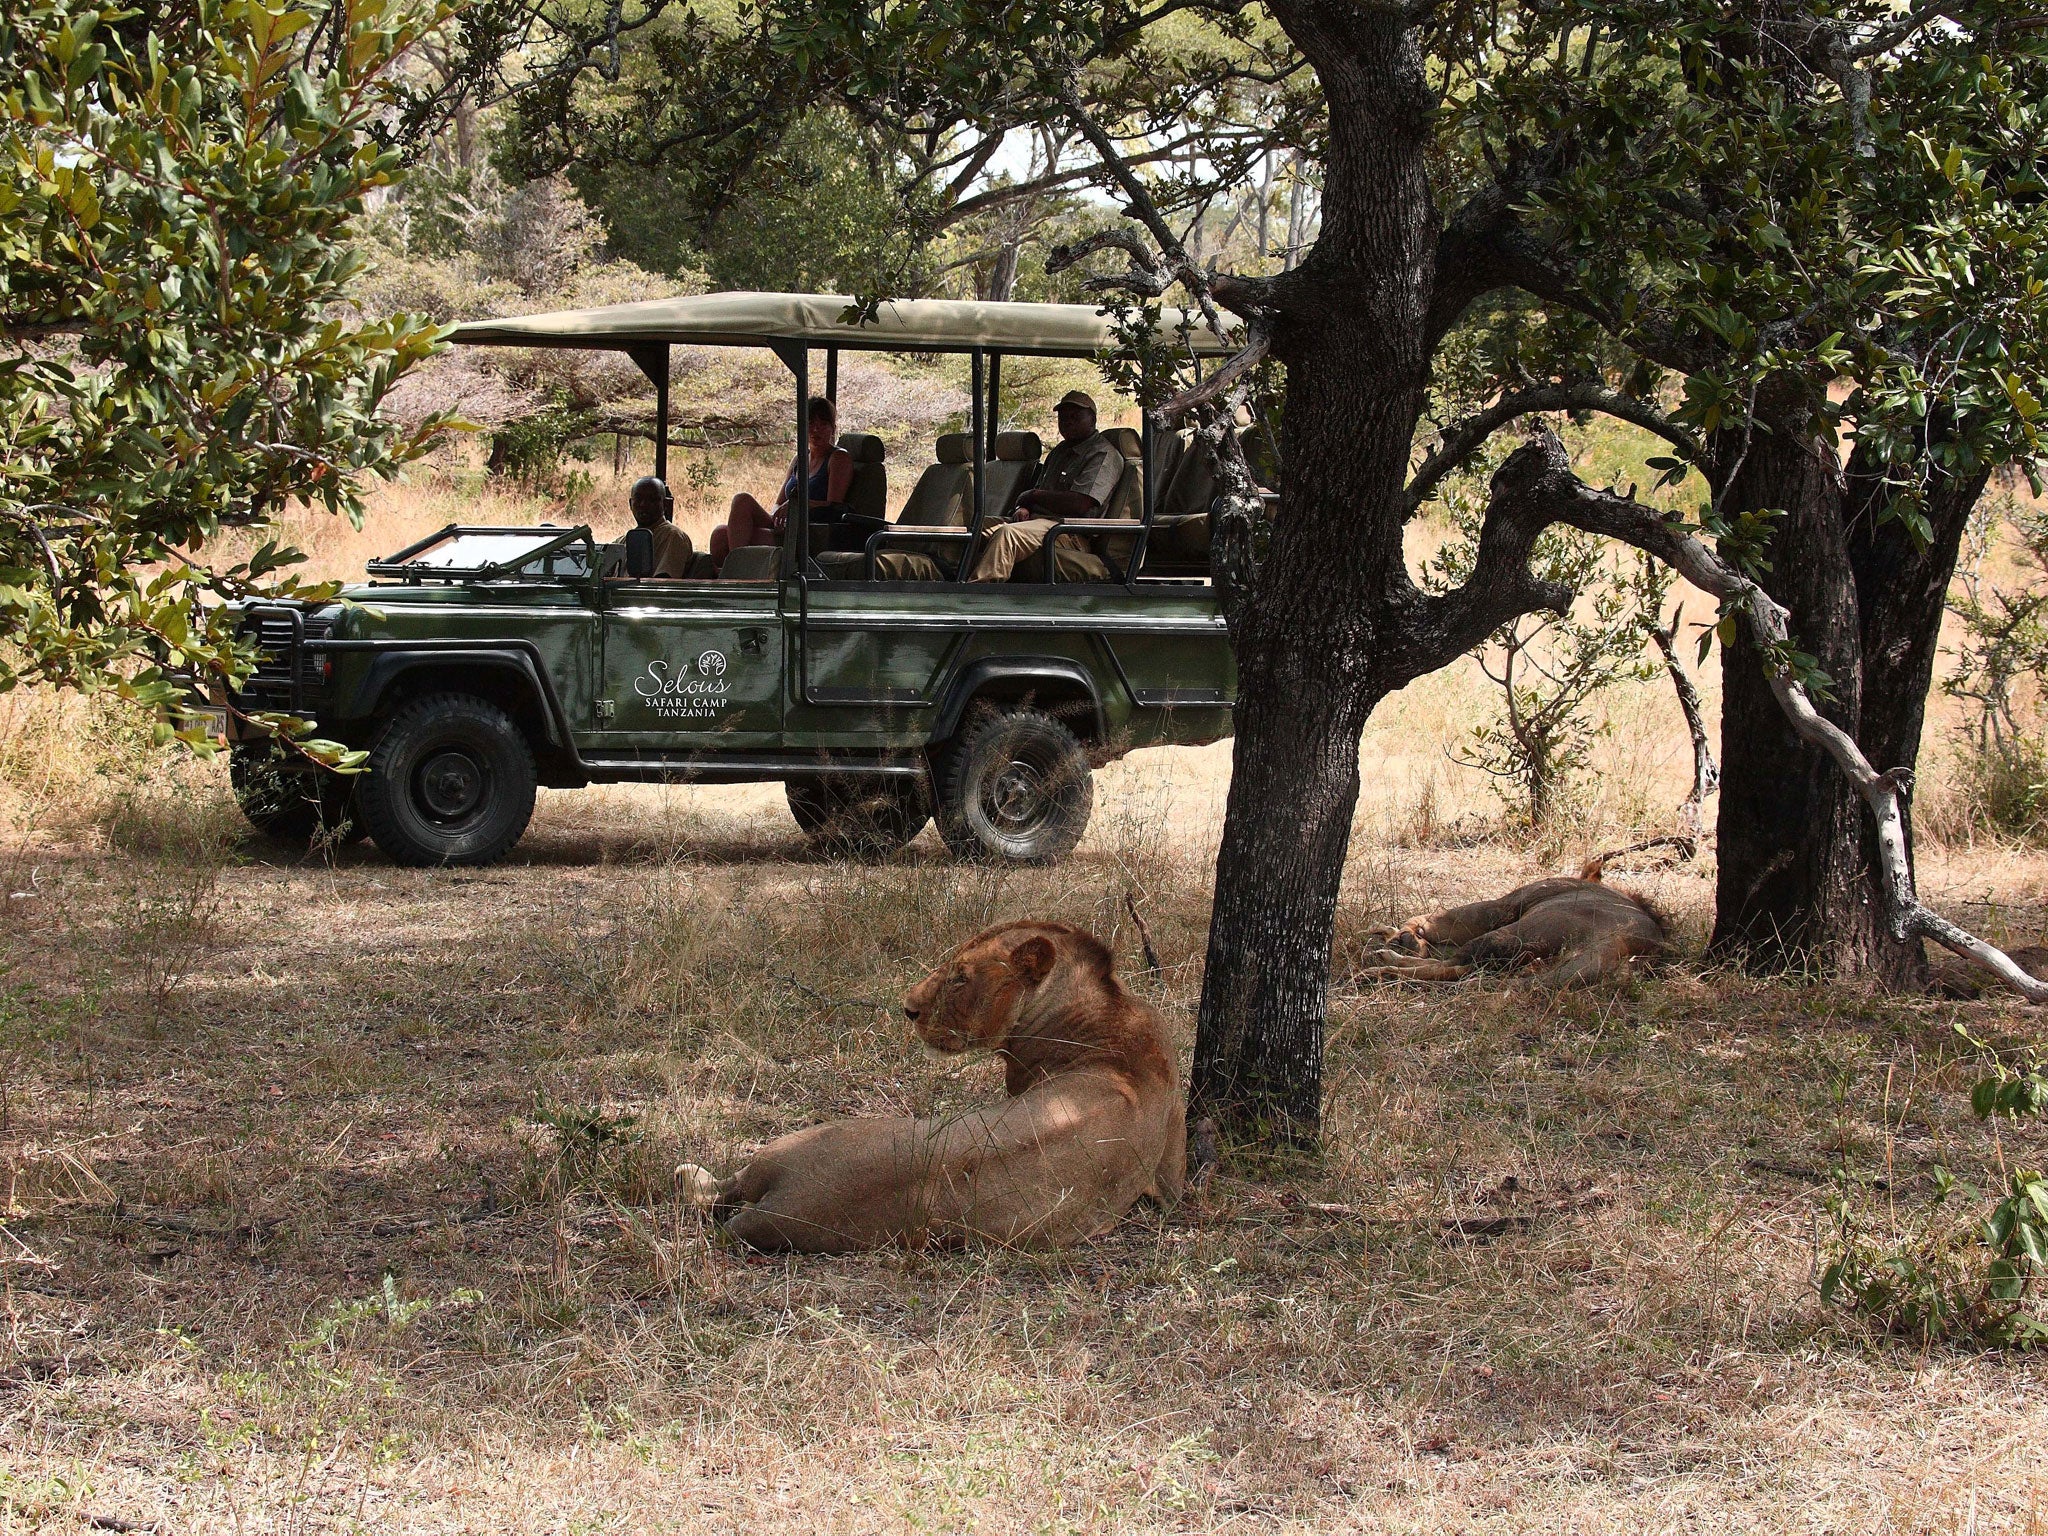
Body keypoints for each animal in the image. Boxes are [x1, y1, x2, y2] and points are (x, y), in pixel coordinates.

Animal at [694, 920, 1186, 1253]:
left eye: (960, 978)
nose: (907, 1009)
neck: (1104, 1014)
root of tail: (783, 1202)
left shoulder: (1173, 1175)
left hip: (800, 1139)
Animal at [1356, 863, 1669, 989]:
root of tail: (1619, 943)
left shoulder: (1501, 906)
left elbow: (1433, 920)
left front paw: (1403, 936)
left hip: (1511, 934)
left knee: (1454, 966)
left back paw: (1383, 968)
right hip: (1530, 959)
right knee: (1465, 969)